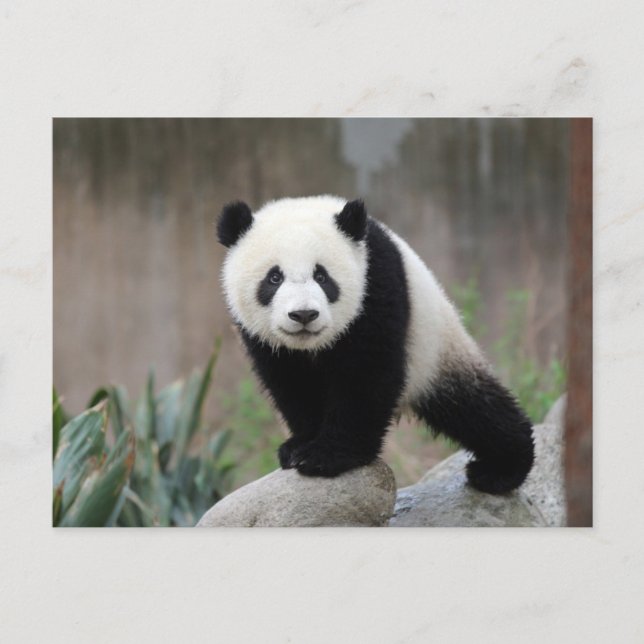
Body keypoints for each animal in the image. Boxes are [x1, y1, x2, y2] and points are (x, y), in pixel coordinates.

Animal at [217, 195, 534, 494]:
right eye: (274, 277)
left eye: (322, 276)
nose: (304, 315)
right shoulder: (265, 340)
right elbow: (292, 383)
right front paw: (299, 446)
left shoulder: (376, 284)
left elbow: (367, 374)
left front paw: (328, 456)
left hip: (436, 349)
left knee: (475, 407)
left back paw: (500, 470)